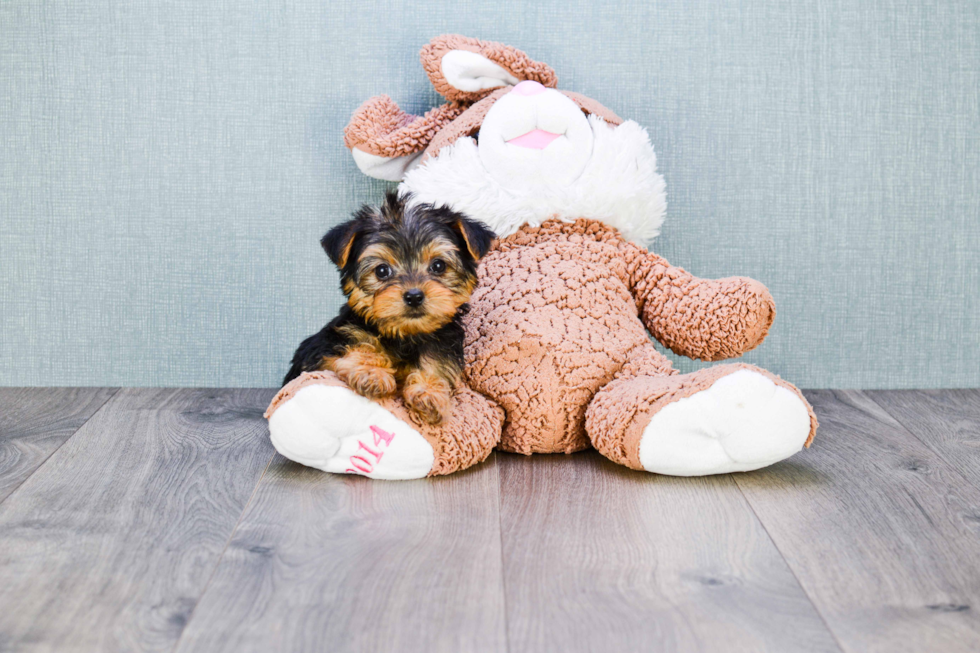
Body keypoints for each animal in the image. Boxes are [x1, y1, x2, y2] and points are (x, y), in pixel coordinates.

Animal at [284, 190, 498, 422]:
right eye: (382, 271)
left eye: (438, 266)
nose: (414, 296)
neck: (404, 335)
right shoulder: (320, 353)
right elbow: (358, 346)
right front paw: (372, 372)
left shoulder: (441, 341)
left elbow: (436, 361)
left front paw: (430, 391)